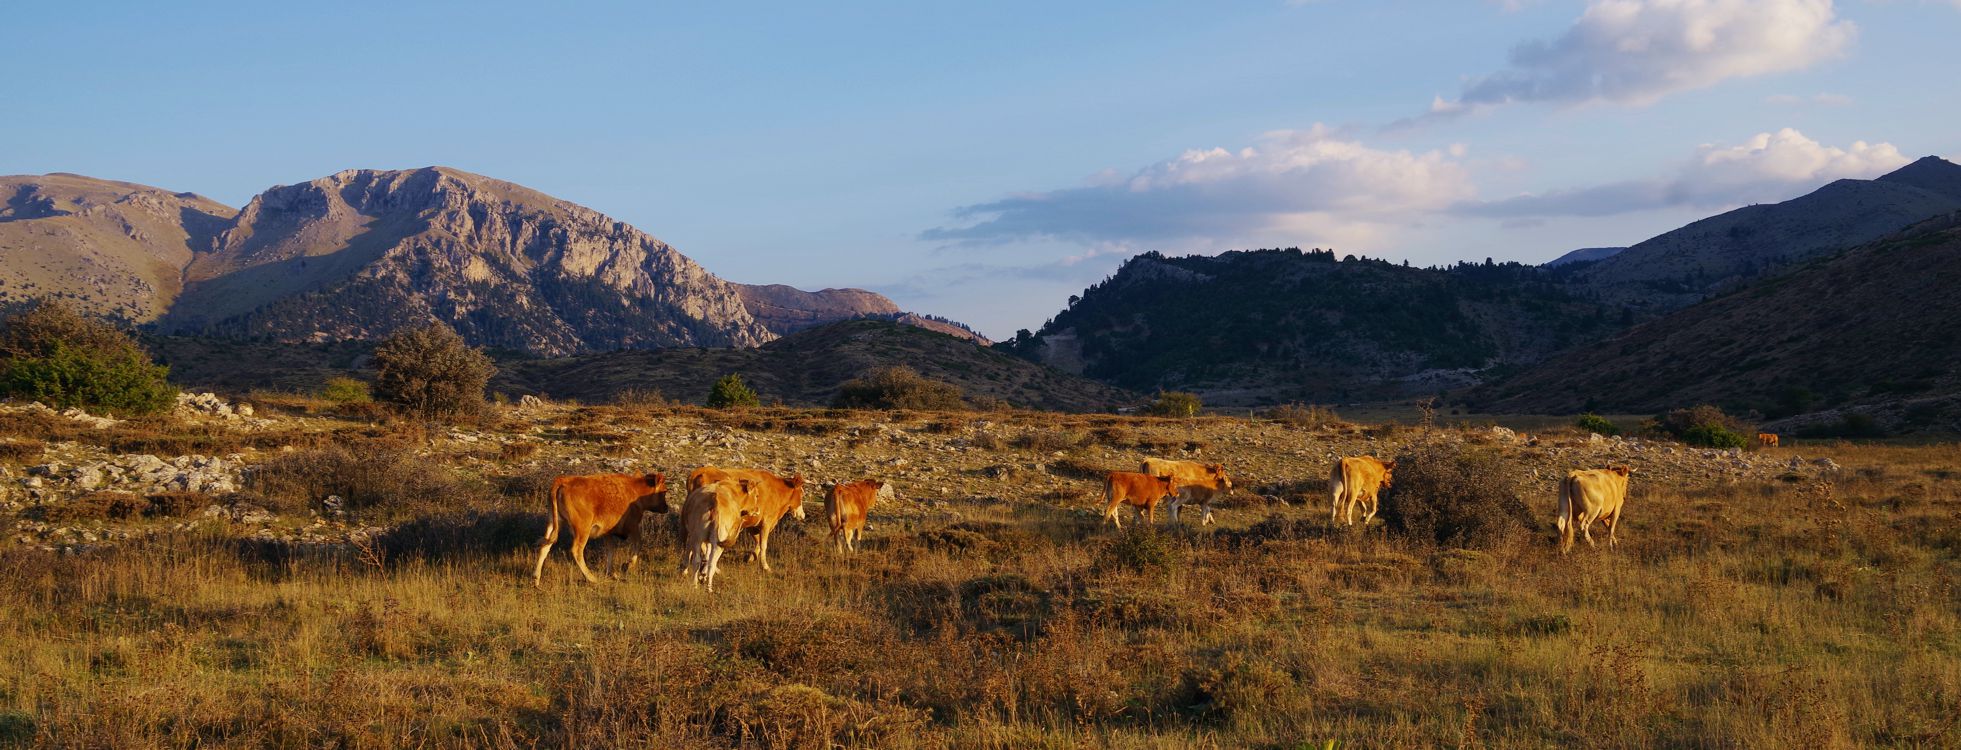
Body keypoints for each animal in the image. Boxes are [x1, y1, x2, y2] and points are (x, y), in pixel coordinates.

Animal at [533, 471, 670, 589]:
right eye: (664, 491)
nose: (666, 508)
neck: (636, 490)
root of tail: (562, 481)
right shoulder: (633, 526)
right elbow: (638, 544)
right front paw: (627, 565)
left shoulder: (607, 532)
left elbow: (610, 550)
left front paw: (611, 573)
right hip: (582, 530)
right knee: (576, 551)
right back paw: (592, 578)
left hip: (553, 523)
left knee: (545, 547)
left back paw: (536, 580)